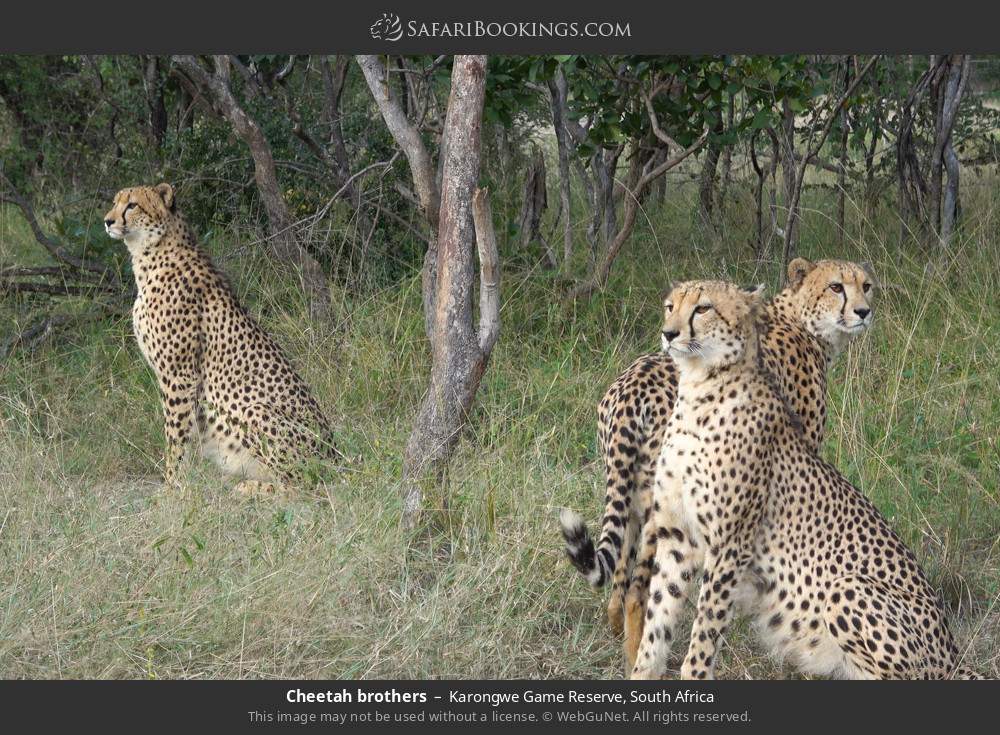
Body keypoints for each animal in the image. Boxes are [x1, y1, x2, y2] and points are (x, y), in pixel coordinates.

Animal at [104, 183, 339, 495]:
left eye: (132, 205)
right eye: (115, 202)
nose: (107, 221)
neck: (152, 254)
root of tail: (336, 455)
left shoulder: (179, 375)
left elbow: (175, 435)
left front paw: (171, 486)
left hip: (254, 410)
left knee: (305, 486)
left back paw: (247, 488)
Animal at [561, 258, 875, 669]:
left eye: (866, 285)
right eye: (836, 286)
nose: (864, 311)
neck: (801, 323)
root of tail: (632, 386)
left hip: (629, 486)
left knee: (619, 569)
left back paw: (619, 632)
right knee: (638, 587)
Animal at [627, 279, 979, 679]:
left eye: (703, 308)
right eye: (670, 307)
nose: (668, 334)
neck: (699, 389)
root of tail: (953, 654)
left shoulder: (731, 544)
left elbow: (706, 627)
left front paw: (695, 675)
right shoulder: (677, 536)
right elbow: (658, 618)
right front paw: (642, 674)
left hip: (848, 589)